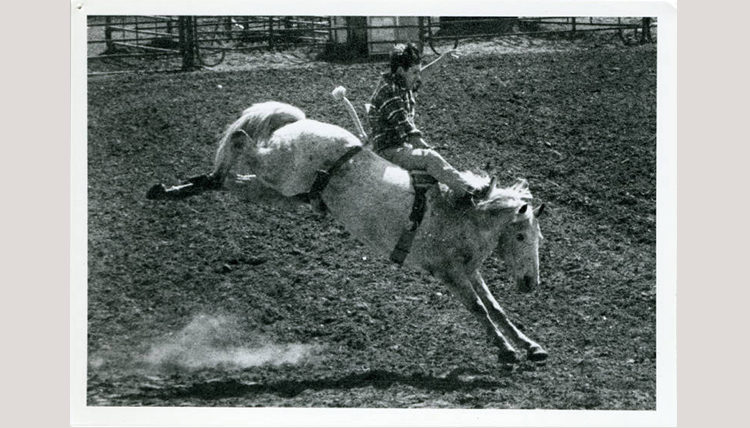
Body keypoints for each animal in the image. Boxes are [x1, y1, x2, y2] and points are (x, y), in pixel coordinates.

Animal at [147, 101, 548, 364]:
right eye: (520, 237)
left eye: (538, 238)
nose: (532, 283)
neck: (464, 214)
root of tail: (299, 123)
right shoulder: (449, 273)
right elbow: (480, 309)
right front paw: (507, 351)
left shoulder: (469, 271)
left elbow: (496, 307)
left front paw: (530, 345)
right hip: (275, 169)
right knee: (241, 141)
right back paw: (202, 174)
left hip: (278, 191)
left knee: (232, 182)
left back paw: (174, 189)